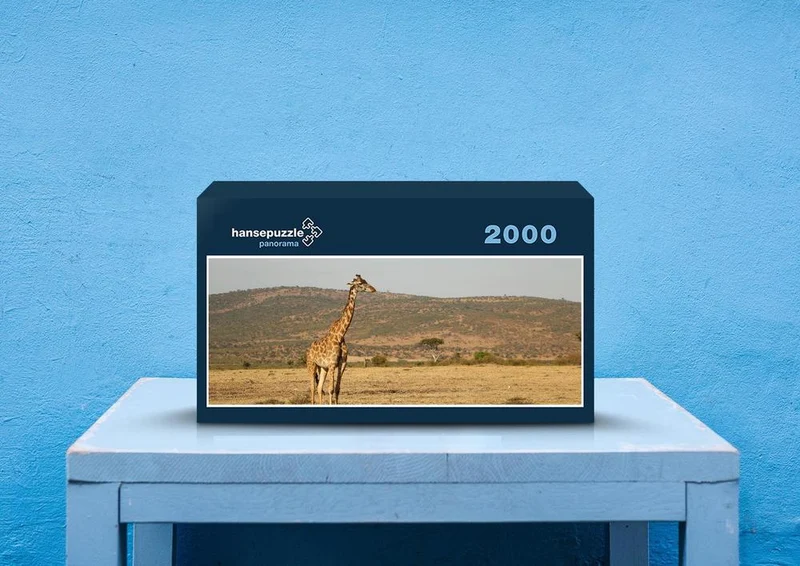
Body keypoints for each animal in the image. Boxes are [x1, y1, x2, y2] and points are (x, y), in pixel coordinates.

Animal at [306, 274, 376, 404]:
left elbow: (337, 389)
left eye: (366, 281)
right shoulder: (332, 364)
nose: (373, 289)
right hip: (311, 364)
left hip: (322, 368)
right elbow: (331, 389)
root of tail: (308, 349)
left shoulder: (342, 364)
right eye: (360, 284)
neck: (340, 336)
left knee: (319, 387)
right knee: (312, 387)